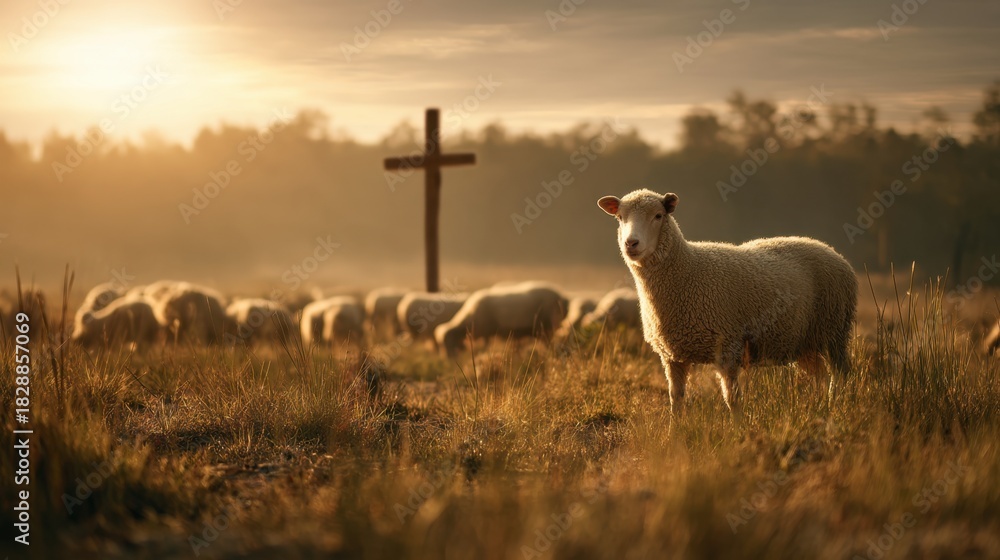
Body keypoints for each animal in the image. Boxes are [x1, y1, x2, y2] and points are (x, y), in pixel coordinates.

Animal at [434, 282, 568, 357]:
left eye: (448, 342)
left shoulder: (486, 331)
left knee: (549, 342)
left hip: (547, 324)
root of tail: (562, 297)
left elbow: (485, 345)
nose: (447, 359)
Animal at [597, 189, 857, 416]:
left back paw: (837, 406)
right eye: (620, 217)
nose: (631, 243)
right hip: (805, 341)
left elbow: (733, 400)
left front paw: (739, 431)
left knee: (840, 375)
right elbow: (676, 400)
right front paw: (674, 434)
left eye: (658, 216)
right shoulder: (672, 357)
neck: (686, 270)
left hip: (835, 331)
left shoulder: (728, 347)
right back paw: (819, 409)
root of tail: (833, 251)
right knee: (819, 376)